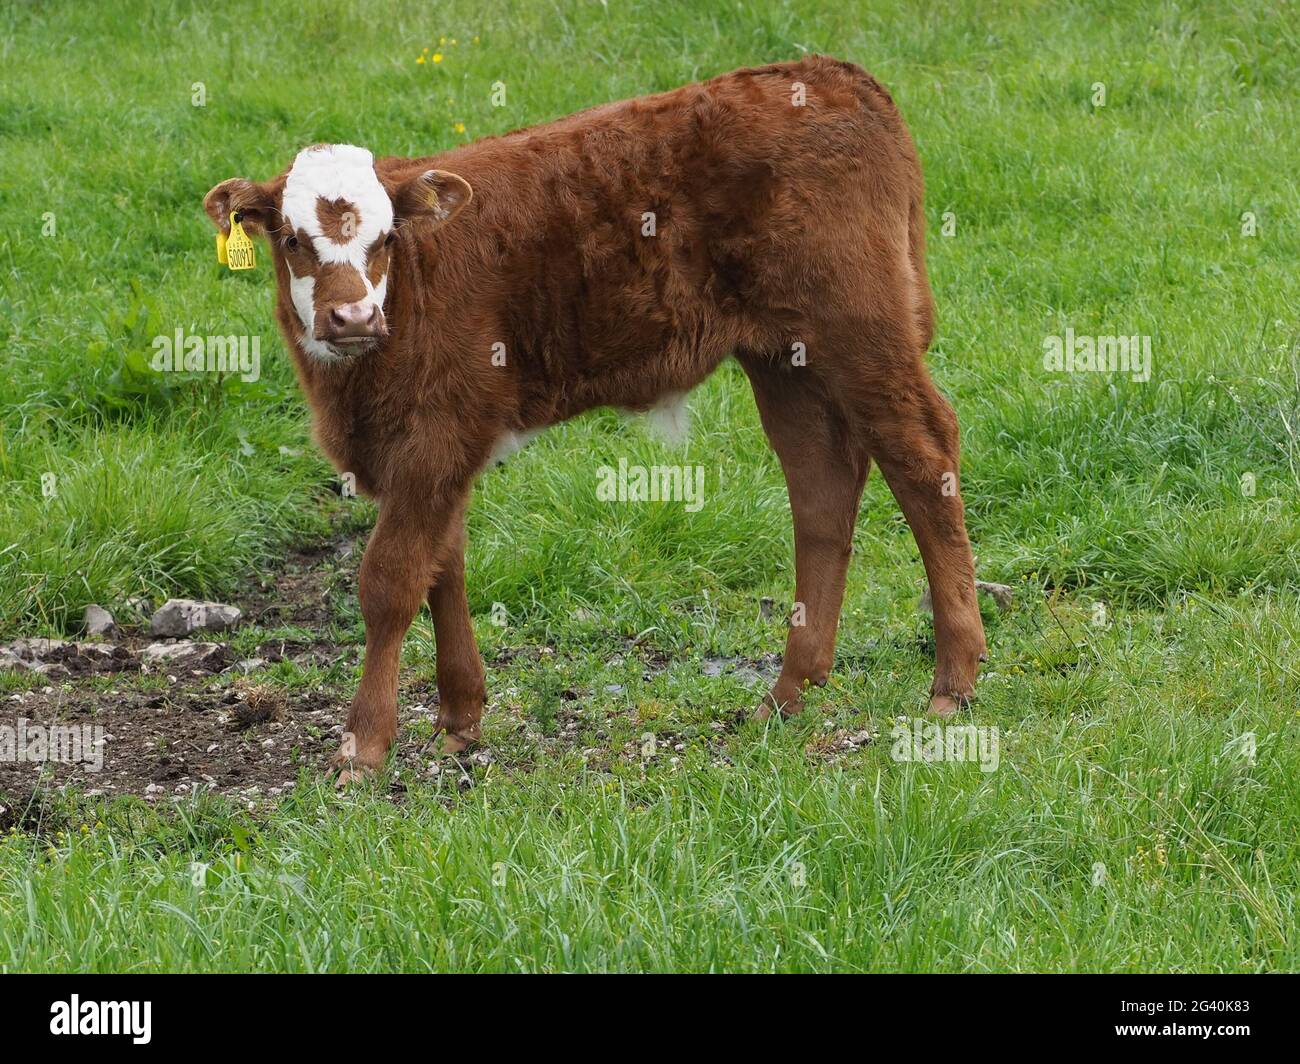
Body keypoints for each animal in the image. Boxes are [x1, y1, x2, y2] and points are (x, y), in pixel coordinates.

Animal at [203, 55, 987, 782]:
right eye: (293, 239)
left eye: (388, 237)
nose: (353, 316)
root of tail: (827, 72)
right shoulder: (435, 451)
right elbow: (443, 565)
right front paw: (460, 716)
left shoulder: (436, 435)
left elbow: (391, 581)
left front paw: (364, 745)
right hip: (784, 358)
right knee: (823, 485)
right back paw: (791, 690)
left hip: (860, 327)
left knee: (924, 457)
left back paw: (954, 678)